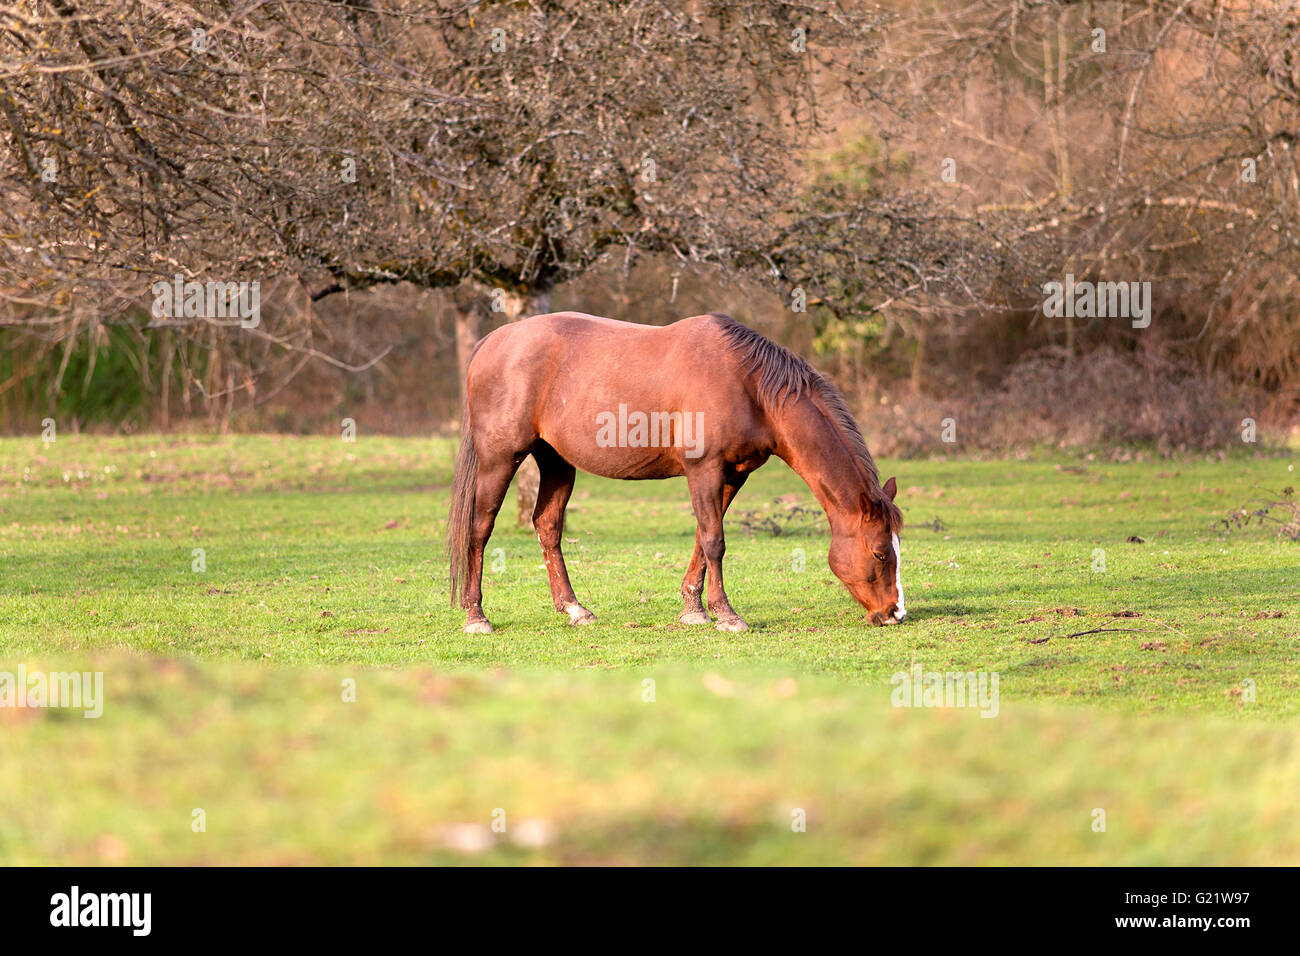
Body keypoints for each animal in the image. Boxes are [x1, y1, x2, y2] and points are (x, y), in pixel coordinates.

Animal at [446, 311, 905, 634]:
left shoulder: (732, 475)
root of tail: (494, 342)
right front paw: (727, 615)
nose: (894, 613)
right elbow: (715, 541)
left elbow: (705, 539)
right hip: (500, 459)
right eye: (881, 553)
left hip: (556, 461)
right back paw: (476, 616)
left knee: (547, 526)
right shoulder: (704, 469)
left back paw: (575, 609)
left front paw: (695, 610)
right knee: (479, 530)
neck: (748, 385)